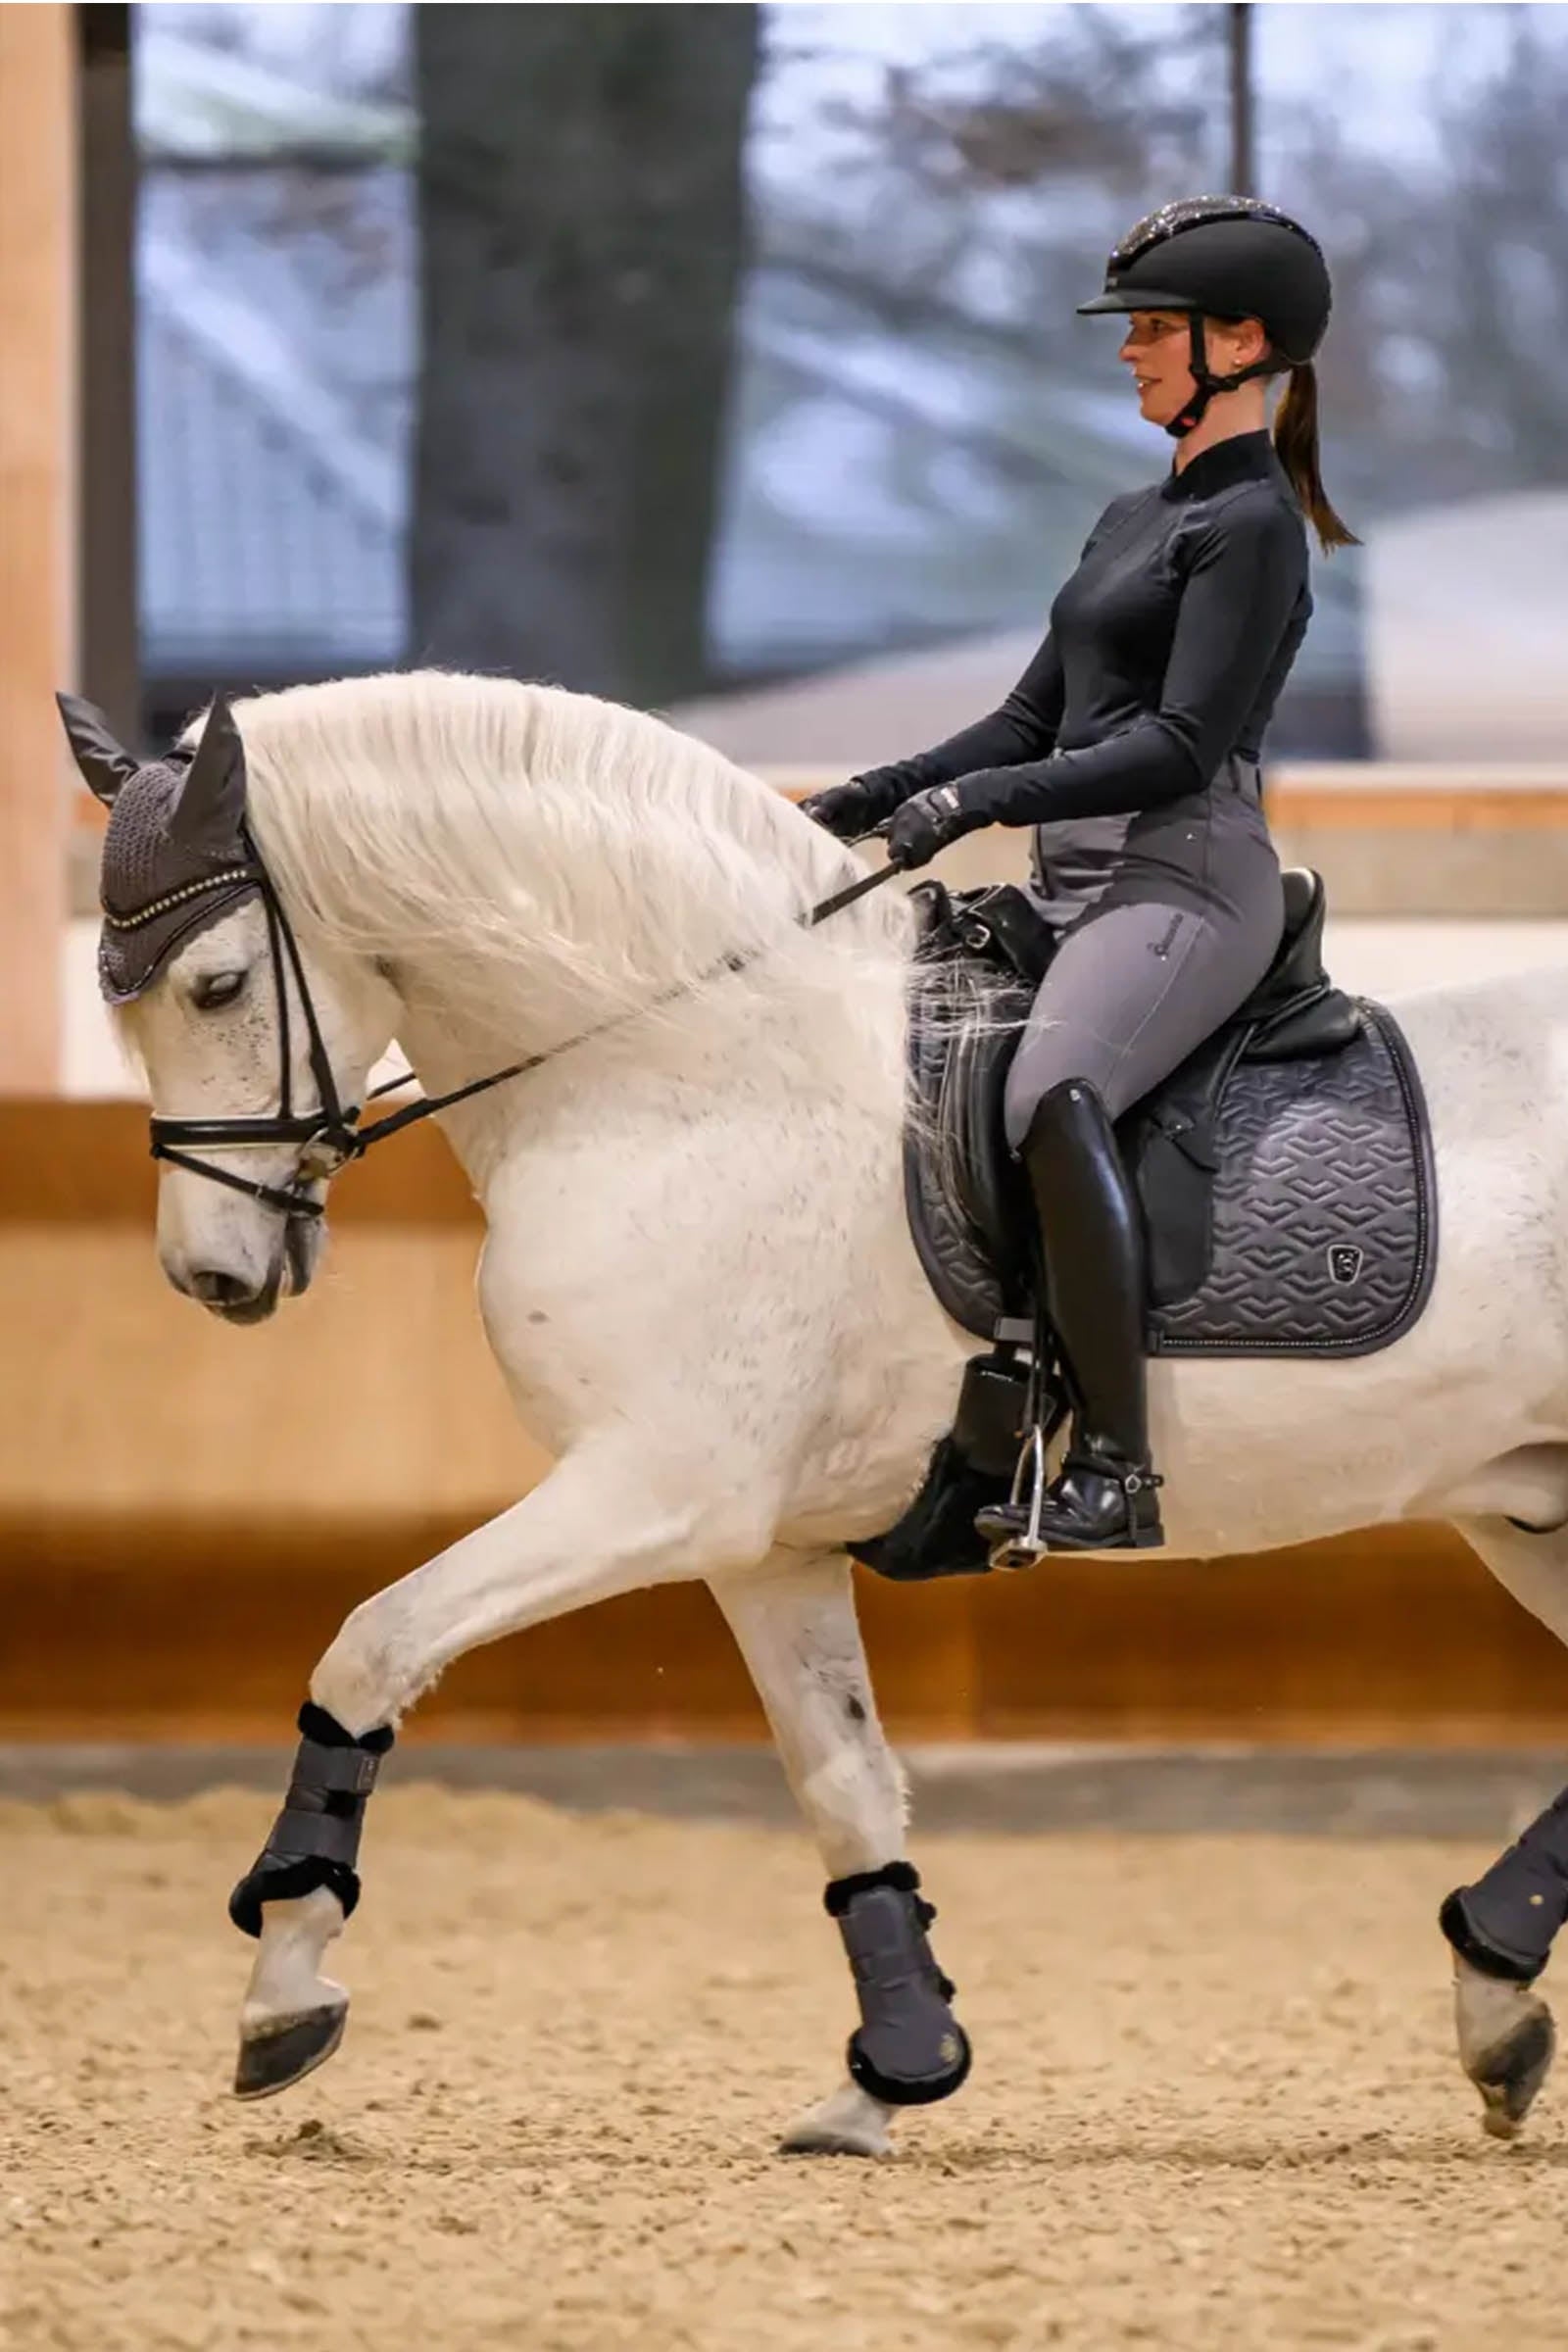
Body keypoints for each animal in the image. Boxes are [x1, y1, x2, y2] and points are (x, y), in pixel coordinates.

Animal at [63, 668, 1568, 2155]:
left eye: (215, 986)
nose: (211, 1274)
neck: (685, 1072)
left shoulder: (653, 1489)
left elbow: (370, 1646)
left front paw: (284, 1984)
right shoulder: (762, 1544)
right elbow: (844, 1786)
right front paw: (894, 2069)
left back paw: (1489, 1976)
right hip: (1528, 1510)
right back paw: (1494, 2001)